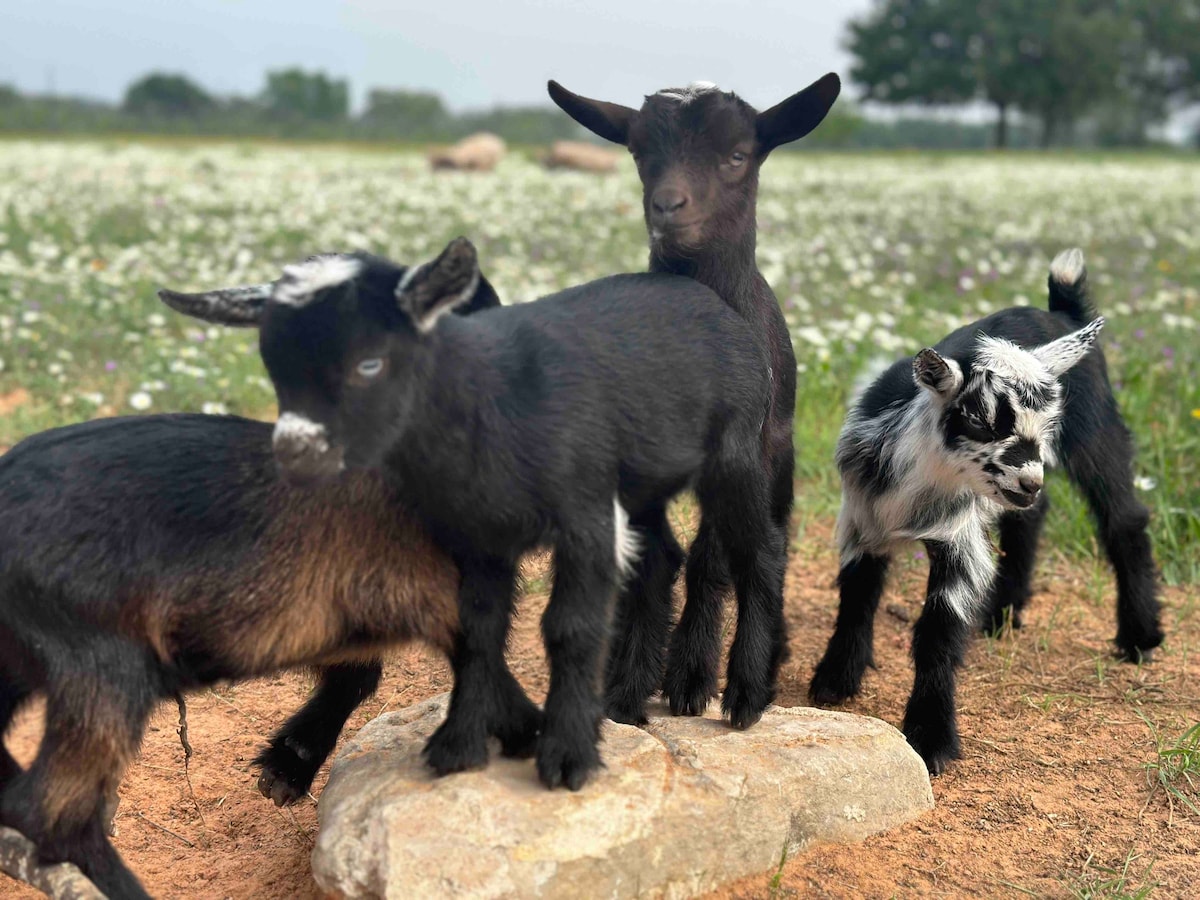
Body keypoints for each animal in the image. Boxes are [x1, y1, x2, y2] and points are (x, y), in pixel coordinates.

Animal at [169, 236, 787, 792]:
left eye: (371, 361)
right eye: (273, 363)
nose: (300, 453)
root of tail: (709, 300)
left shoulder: (573, 517)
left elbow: (563, 627)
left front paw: (559, 750)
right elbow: (465, 630)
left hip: (733, 451)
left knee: (759, 551)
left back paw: (744, 693)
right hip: (642, 479)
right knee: (660, 556)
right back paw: (625, 697)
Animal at [549, 75, 840, 724]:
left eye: (737, 155)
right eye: (638, 152)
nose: (668, 205)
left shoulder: (741, 451)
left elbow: (730, 555)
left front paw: (718, 683)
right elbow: (656, 559)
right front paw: (631, 683)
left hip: (773, 454)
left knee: (759, 543)